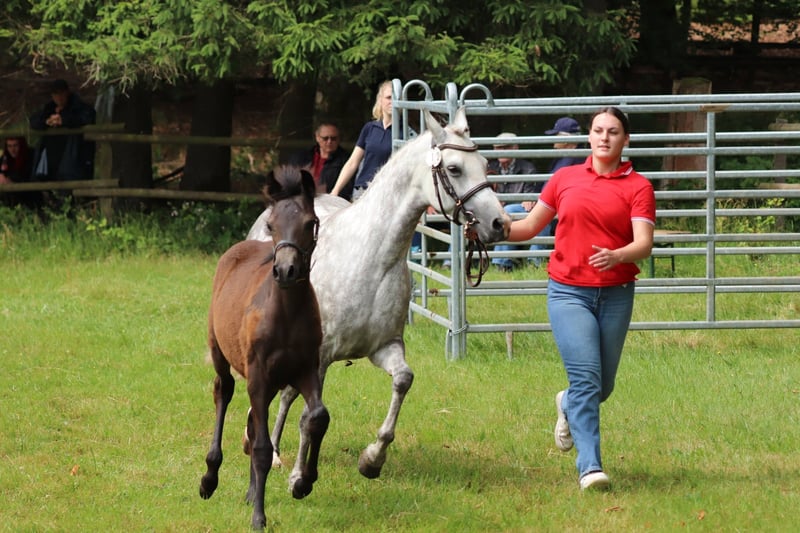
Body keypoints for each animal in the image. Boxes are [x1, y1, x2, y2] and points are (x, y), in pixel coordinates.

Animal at [199, 167, 328, 530]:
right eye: (271, 225)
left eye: (311, 222)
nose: (285, 270)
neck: (285, 315)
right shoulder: (258, 376)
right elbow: (260, 448)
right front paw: (259, 515)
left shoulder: (304, 370)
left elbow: (317, 417)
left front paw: (303, 483)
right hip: (221, 353)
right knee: (223, 391)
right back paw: (209, 478)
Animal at [247, 107, 510, 480]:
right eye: (454, 168)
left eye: (486, 165)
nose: (500, 224)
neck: (372, 256)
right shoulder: (321, 356)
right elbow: (309, 416)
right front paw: (299, 475)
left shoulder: (385, 347)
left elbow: (403, 381)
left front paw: (372, 459)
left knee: (285, 394)